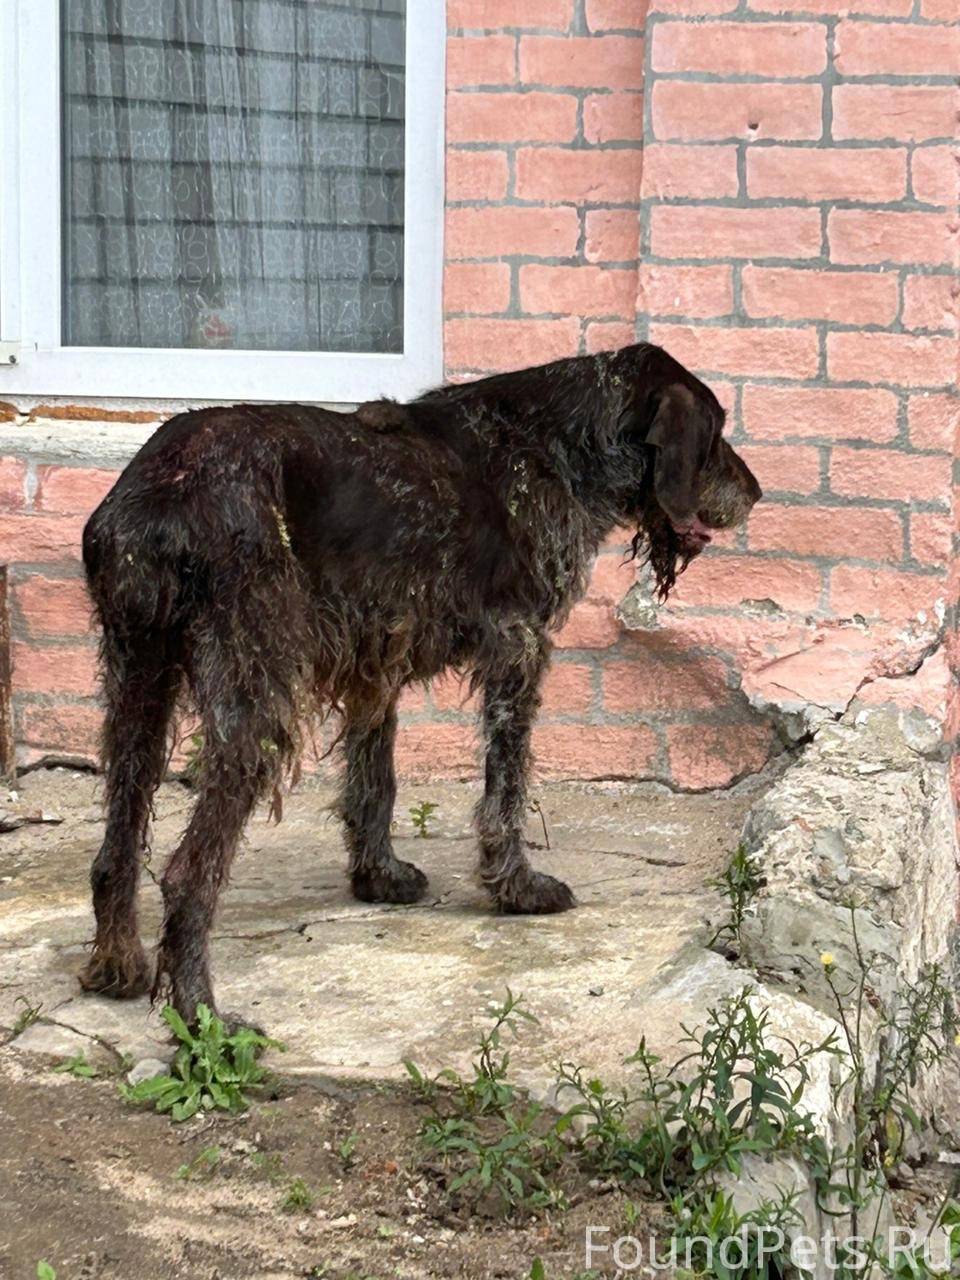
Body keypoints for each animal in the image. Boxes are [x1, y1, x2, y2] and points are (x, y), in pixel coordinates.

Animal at [79, 345, 762, 1024]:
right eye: (715, 434)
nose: (756, 494)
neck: (560, 446)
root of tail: (157, 492)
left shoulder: (372, 662)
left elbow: (375, 780)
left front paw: (377, 876)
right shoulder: (519, 647)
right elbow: (506, 789)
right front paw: (517, 887)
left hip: (137, 681)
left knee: (116, 846)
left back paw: (118, 963)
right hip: (254, 699)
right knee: (188, 874)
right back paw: (201, 1016)